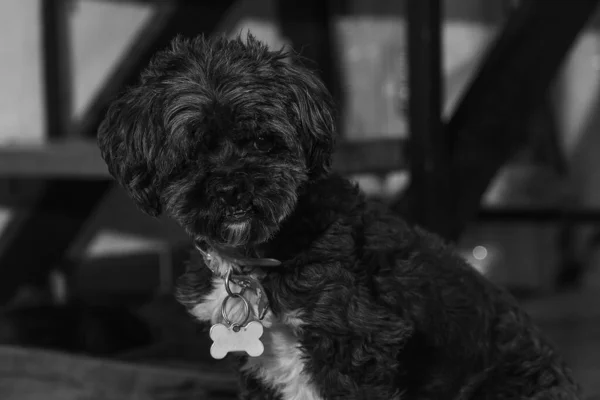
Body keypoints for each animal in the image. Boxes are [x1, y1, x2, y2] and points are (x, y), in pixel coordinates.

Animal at [96, 35, 580, 400]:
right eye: (190, 154)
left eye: (262, 141)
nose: (233, 189)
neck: (258, 254)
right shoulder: (260, 368)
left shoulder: (360, 342)